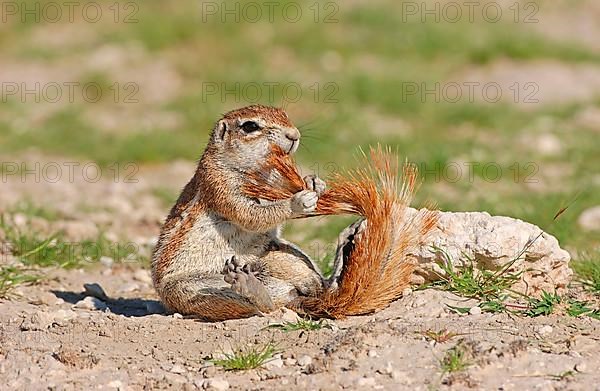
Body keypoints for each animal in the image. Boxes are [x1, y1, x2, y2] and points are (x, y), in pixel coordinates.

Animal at [152, 105, 438, 322]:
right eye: (250, 126)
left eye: (284, 113)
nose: (294, 135)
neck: (260, 171)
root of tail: (289, 297)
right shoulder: (220, 185)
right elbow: (250, 214)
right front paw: (298, 201)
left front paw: (314, 183)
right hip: (189, 288)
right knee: (261, 308)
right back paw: (251, 289)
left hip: (286, 252)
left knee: (319, 286)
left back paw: (343, 249)